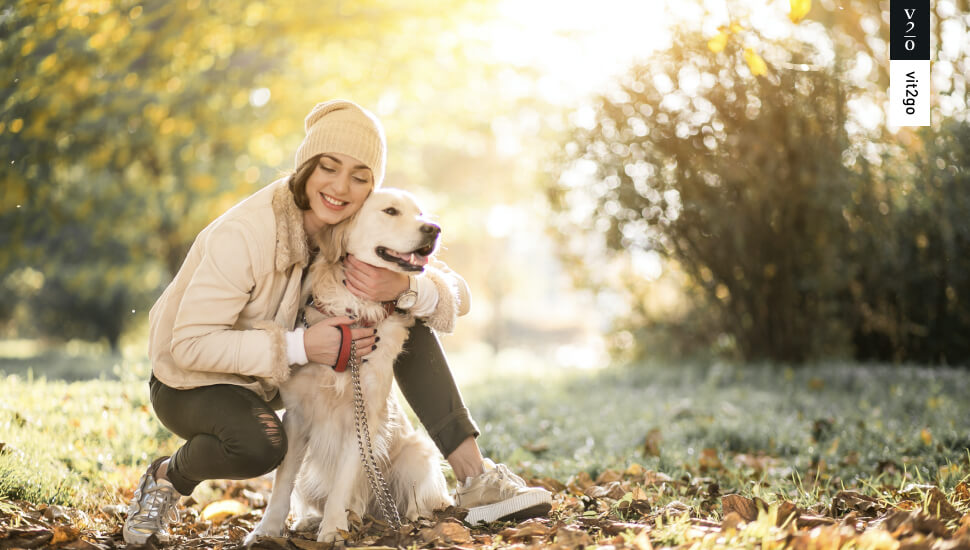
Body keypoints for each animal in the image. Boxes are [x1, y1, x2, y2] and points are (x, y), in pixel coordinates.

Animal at [244, 188, 452, 544]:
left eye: (421, 214)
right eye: (390, 211)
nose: (434, 229)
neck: (352, 316)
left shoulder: (363, 416)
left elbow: (343, 480)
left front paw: (332, 529)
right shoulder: (297, 417)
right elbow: (282, 482)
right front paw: (266, 530)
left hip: (417, 452)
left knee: (418, 496)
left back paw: (410, 519)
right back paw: (310, 521)